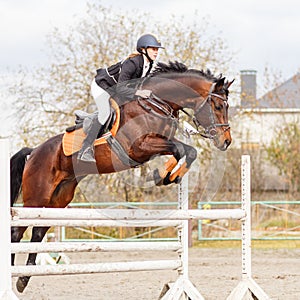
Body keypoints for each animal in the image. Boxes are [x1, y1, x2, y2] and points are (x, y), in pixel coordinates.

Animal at [9, 59, 234, 292]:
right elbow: (182, 149)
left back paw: (24, 278)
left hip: (59, 198)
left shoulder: (158, 144)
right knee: (17, 232)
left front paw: (165, 176)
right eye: (218, 106)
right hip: (37, 196)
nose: (226, 141)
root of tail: (34, 151)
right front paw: (163, 175)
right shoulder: (140, 146)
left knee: (38, 231)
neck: (156, 104)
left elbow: (186, 151)